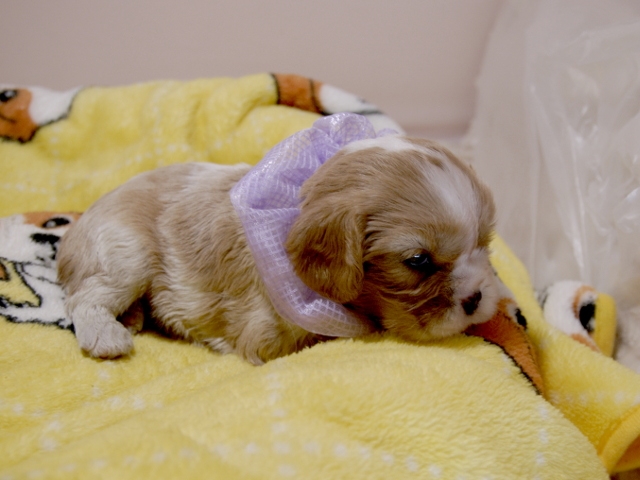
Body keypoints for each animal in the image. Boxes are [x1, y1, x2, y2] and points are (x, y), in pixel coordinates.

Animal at [57, 135, 499, 365]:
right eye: (418, 261)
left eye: (485, 243)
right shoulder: (266, 338)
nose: (478, 297)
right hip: (124, 253)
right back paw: (108, 336)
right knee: (84, 298)